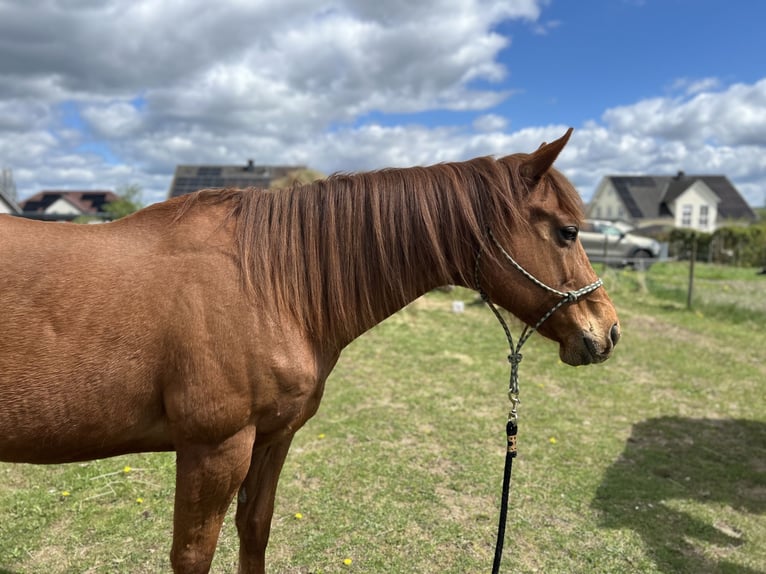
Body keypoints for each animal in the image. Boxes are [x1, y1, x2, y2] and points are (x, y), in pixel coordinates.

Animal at [0, 128, 619, 573]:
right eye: (567, 232)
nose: (608, 331)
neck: (269, 284)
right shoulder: (213, 449)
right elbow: (193, 555)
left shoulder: (271, 438)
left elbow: (255, 531)